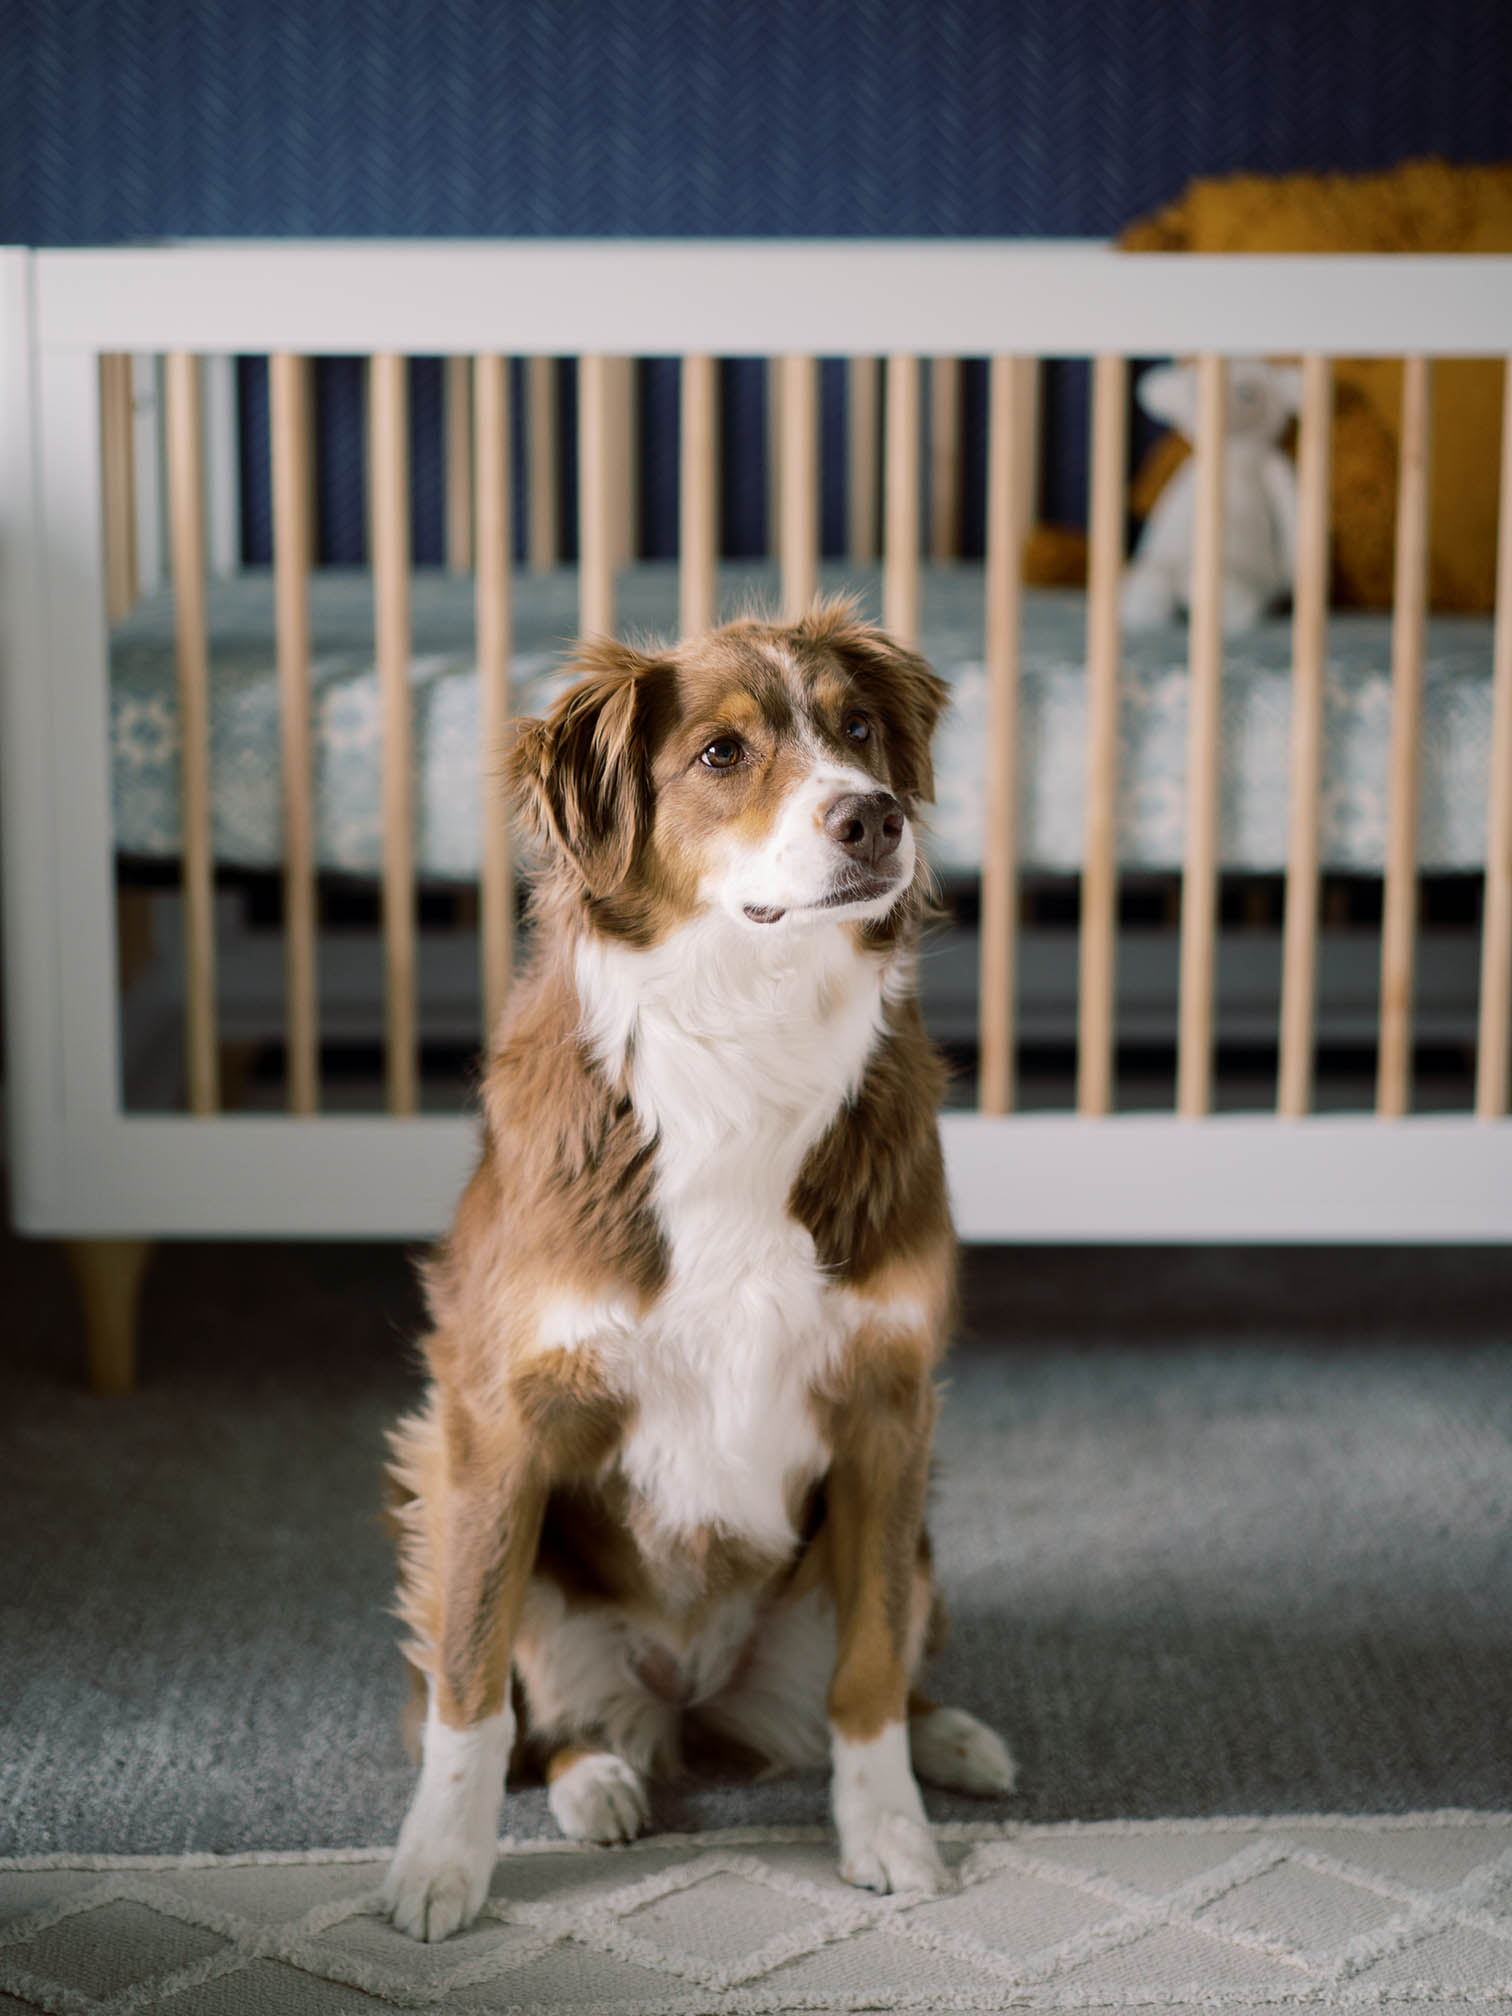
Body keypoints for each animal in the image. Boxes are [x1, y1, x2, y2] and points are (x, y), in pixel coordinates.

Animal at [379, 604, 1020, 1943]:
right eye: (722, 754)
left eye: (860, 730)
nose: (875, 816)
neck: (748, 1032)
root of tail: (687, 1693)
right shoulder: (490, 1419)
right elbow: (469, 1680)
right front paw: (440, 1866)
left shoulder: (889, 1406)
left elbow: (869, 1669)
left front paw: (889, 1833)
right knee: (539, 1708)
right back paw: (599, 1782)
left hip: (910, 1541)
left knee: (882, 1662)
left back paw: (954, 1740)